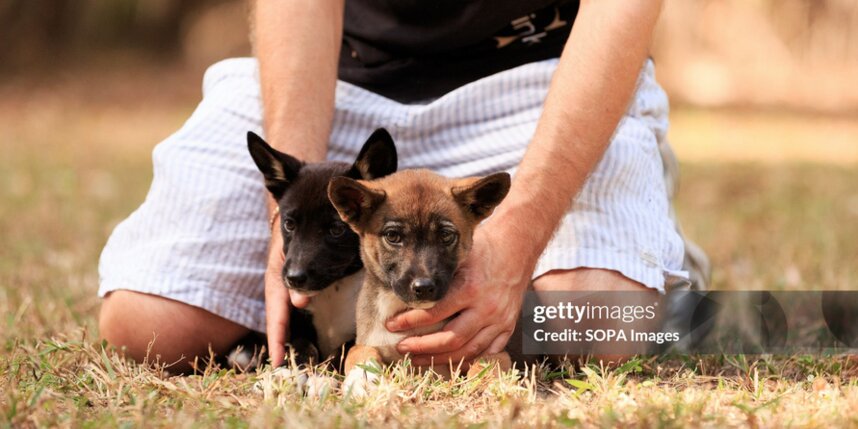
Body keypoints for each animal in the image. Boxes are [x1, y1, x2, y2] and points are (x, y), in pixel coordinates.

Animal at [246, 128, 397, 368]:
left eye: (336, 229)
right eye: (289, 224)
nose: (294, 278)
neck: (332, 291)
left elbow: (339, 353)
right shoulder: (297, 324)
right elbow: (302, 346)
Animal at [328, 165, 513, 394]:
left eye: (446, 235)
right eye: (393, 236)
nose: (423, 288)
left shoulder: (495, 350)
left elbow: (489, 362)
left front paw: (487, 383)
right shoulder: (371, 340)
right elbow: (358, 350)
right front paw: (361, 375)